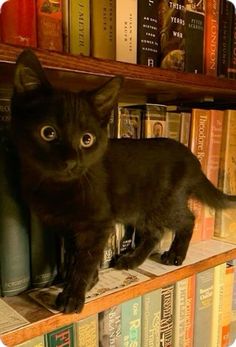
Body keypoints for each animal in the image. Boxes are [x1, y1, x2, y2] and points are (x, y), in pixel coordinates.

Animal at [10, 50, 236, 314]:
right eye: (48, 132)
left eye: (87, 139)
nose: (71, 161)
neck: (59, 189)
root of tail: (192, 158)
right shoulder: (70, 227)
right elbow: (78, 255)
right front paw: (90, 282)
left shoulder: (97, 224)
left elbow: (85, 259)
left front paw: (74, 294)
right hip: (139, 208)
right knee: (155, 231)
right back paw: (132, 259)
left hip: (165, 202)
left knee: (188, 219)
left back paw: (175, 255)